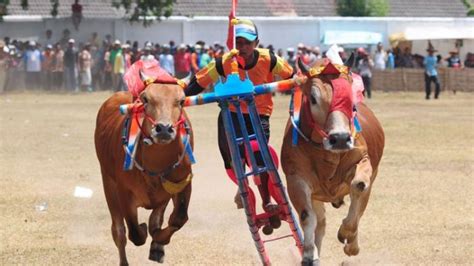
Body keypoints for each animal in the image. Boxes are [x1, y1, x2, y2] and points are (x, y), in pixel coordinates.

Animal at [94, 80, 193, 264]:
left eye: (181, 101)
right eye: (146, 99)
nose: (163, 129)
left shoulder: (183, 182)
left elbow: (177, 219)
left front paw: (158, 245)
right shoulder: (123, 192)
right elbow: (135, 232)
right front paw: (143, 229)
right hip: (108, 183)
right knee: (119, 232)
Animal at [282, 58, 386, 266]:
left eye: (350, 98)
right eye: (313, 98)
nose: (340, 139)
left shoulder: (363, 163)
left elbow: (358, 185)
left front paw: (346, 234)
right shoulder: (296, 179)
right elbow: (307, 216)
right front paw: (308, 254)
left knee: (359, 205)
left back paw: (352, 244)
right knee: (320, 224)